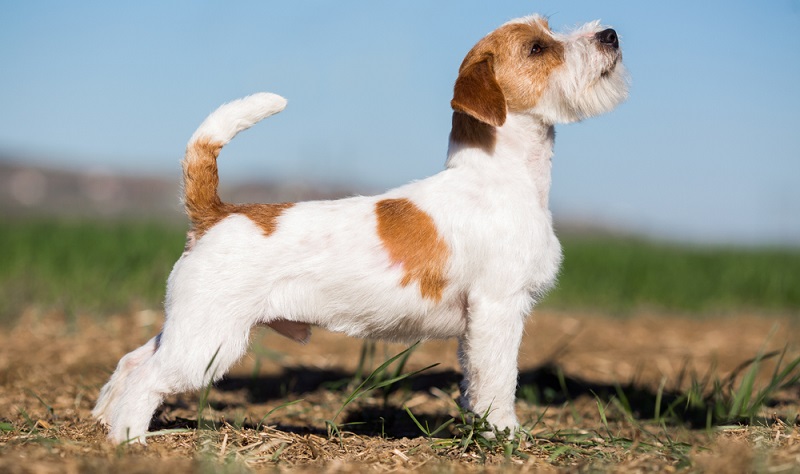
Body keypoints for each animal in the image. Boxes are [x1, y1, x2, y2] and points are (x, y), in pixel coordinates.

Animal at [94, 14, 628, 444]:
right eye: (537, 48)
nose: (610, 34)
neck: (499, 174)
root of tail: (216, 213)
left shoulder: (479, 322)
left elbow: (475, 380)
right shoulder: (499, 309)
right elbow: (498, 380)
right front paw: (505, 435)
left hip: (188, 327)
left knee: (132, 360)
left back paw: (103, 419)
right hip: (208, 341)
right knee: (147, 379)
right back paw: (128, 439)